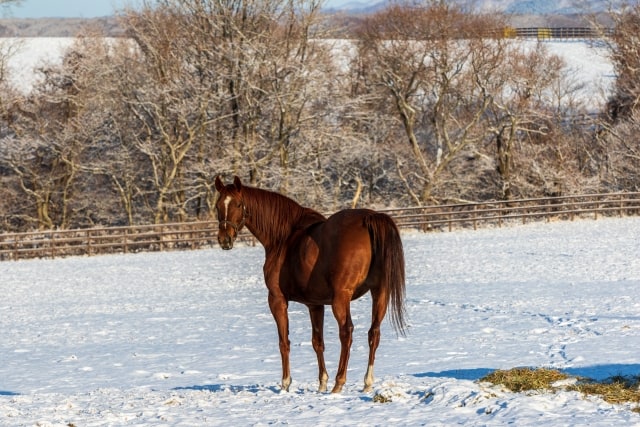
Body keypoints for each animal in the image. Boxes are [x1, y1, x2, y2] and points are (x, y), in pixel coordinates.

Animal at [215, 176, 404, 394]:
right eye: (218, 205)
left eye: (238, 204)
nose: (224, 239)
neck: (284, 238)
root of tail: (370, 218)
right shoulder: (315, 304)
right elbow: (317, 342)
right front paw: (322, 382)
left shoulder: (277, 300)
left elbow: (284, 342)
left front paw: (285, 383)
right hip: (380, 293)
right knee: (374, 332)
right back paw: (366, 383)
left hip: (341, 299)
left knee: (346, 333)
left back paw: (339, 383)